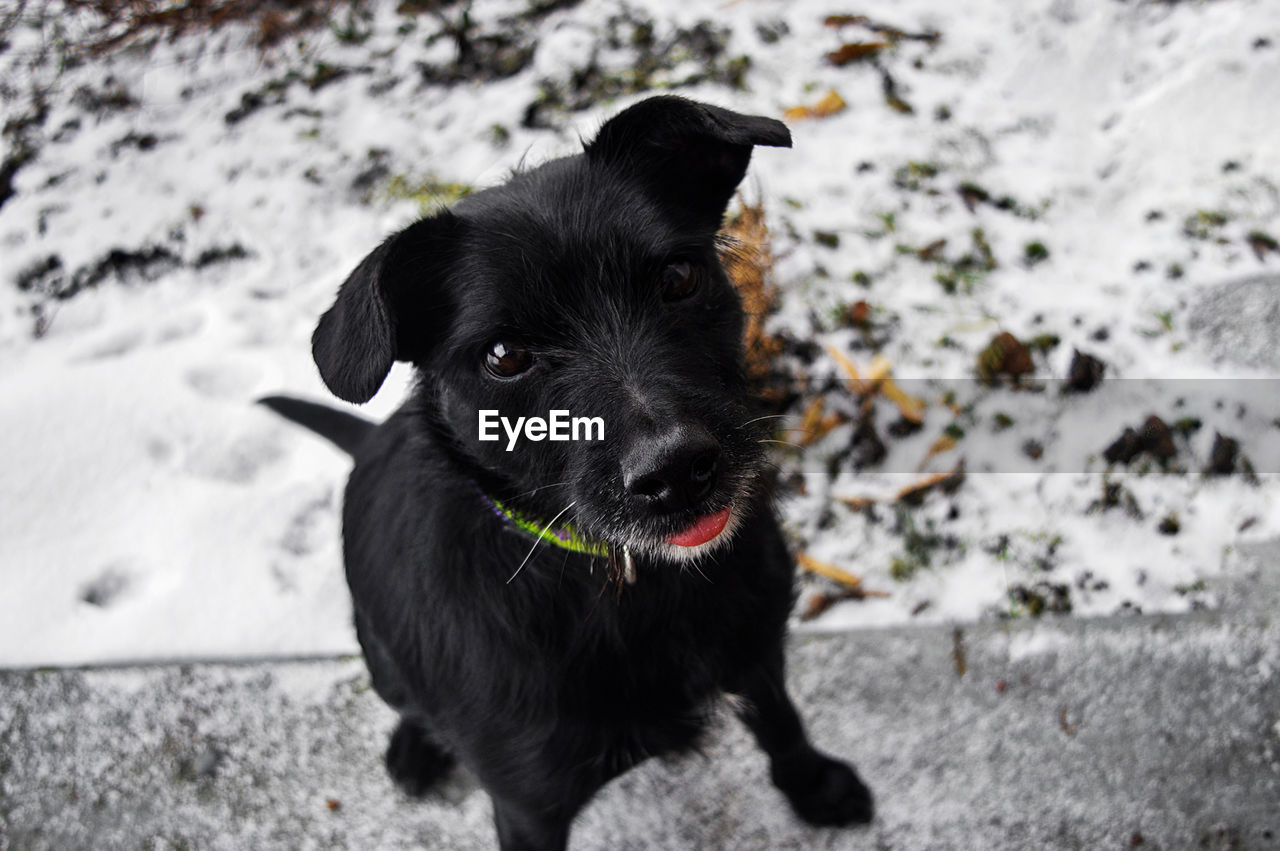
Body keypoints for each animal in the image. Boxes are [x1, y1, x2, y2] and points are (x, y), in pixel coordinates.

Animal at [264, 95, 875, 844]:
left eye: (678, 278)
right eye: (503, 356)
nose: (678, 471)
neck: (626, 583)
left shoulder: (758, 648)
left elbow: (781, 720)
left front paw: (813, 783)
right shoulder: (528, 805)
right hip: (382, 660)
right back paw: (416, 745)